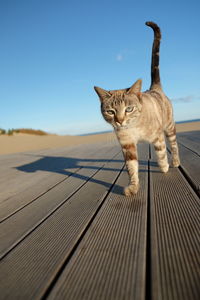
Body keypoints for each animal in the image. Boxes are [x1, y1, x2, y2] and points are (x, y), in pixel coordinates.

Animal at [94, 20, 180, 195]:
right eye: (110, 111)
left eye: (128, 109)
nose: (120, 121)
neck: (134, 127)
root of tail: (154, 88)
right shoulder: (127, 146)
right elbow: (131, 168)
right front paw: (133, 187)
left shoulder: (157, 136)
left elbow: (161, 153)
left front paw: (164, 167)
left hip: (169, 127)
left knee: (174, 145)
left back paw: (175, 162)